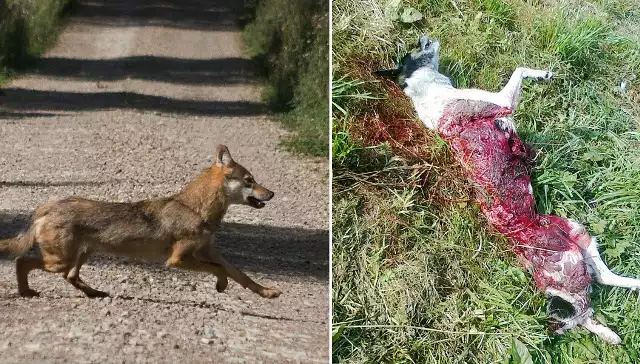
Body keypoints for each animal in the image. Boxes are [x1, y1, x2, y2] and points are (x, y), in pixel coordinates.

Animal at [0, 144, 282, 298]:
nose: (271, 194)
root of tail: (46, 206)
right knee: (22, 261)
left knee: (70, 277)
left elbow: (240, 274)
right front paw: (221, 286)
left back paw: (96, 293)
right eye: (249, 180)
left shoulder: (208, 251)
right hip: (60, 260)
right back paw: (26, 292)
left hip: (81, 255)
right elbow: (220, 270)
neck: (196, 209)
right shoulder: (178, 259)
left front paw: (267, 292)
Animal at [376, 34, 640, 344]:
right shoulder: (502, 101)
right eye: (414, 49)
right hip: (571, 262)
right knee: (582, 307)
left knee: (600, 280)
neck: (429, 92)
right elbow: (519, 69)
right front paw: (542, 74)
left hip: (578, 231)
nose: (423, 36)